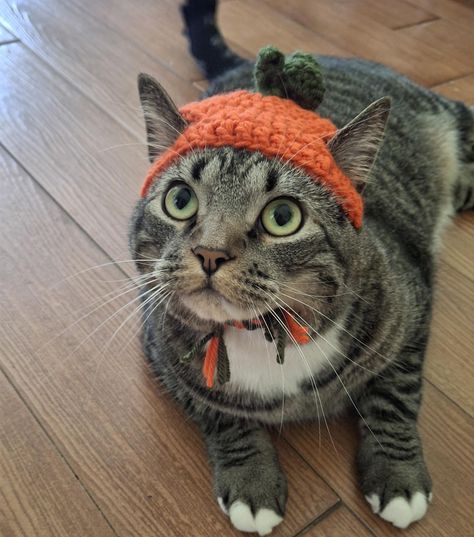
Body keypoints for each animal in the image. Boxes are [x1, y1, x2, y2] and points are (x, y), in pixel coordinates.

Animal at [130, 0, 474, 532]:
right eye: (180, 200)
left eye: (282, 217)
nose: (210, 253)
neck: (263, 331)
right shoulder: (160, 350)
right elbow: (221, 417)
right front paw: (252, 482)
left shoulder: (412, 310)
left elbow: (395, 397)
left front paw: (398, 477)